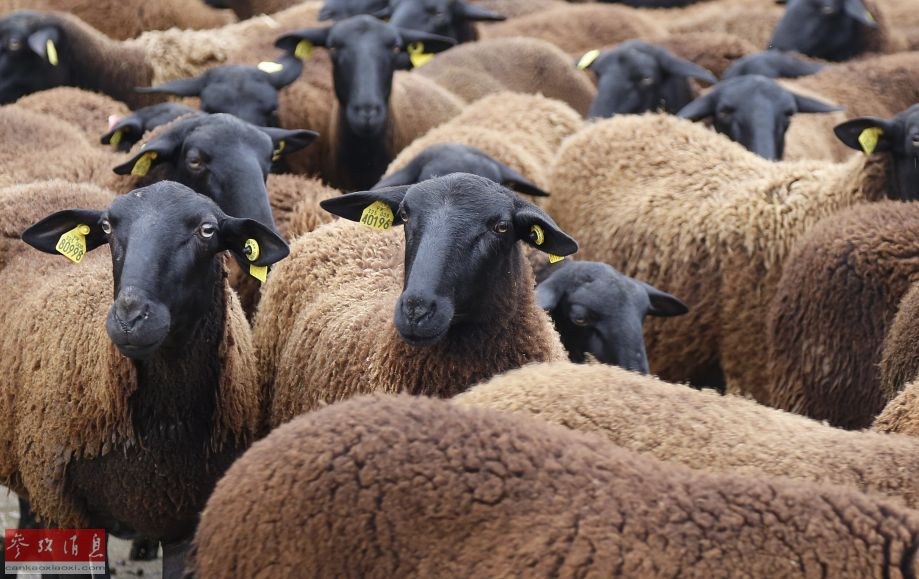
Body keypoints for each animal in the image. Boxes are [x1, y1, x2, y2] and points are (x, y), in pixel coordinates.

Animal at [0, 181, 289, 578]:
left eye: (207, 230)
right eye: (107, 227)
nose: (130, 318)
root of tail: (42, 185)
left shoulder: (185, 526)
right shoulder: (68, 511)